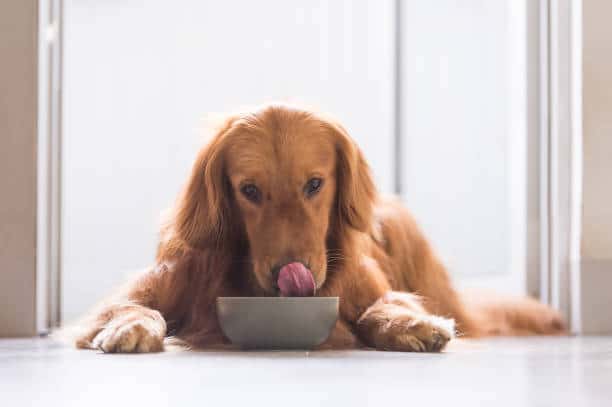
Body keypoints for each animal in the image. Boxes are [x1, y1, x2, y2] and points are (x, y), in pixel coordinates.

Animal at [74, 103, 568, 352]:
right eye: (249, 190)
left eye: (314, 184)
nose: (289, 274)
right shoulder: (161, 282)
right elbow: (127, 306)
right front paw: (130, 327)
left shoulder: (367, 286)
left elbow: (380, 306)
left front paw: (407, 323)